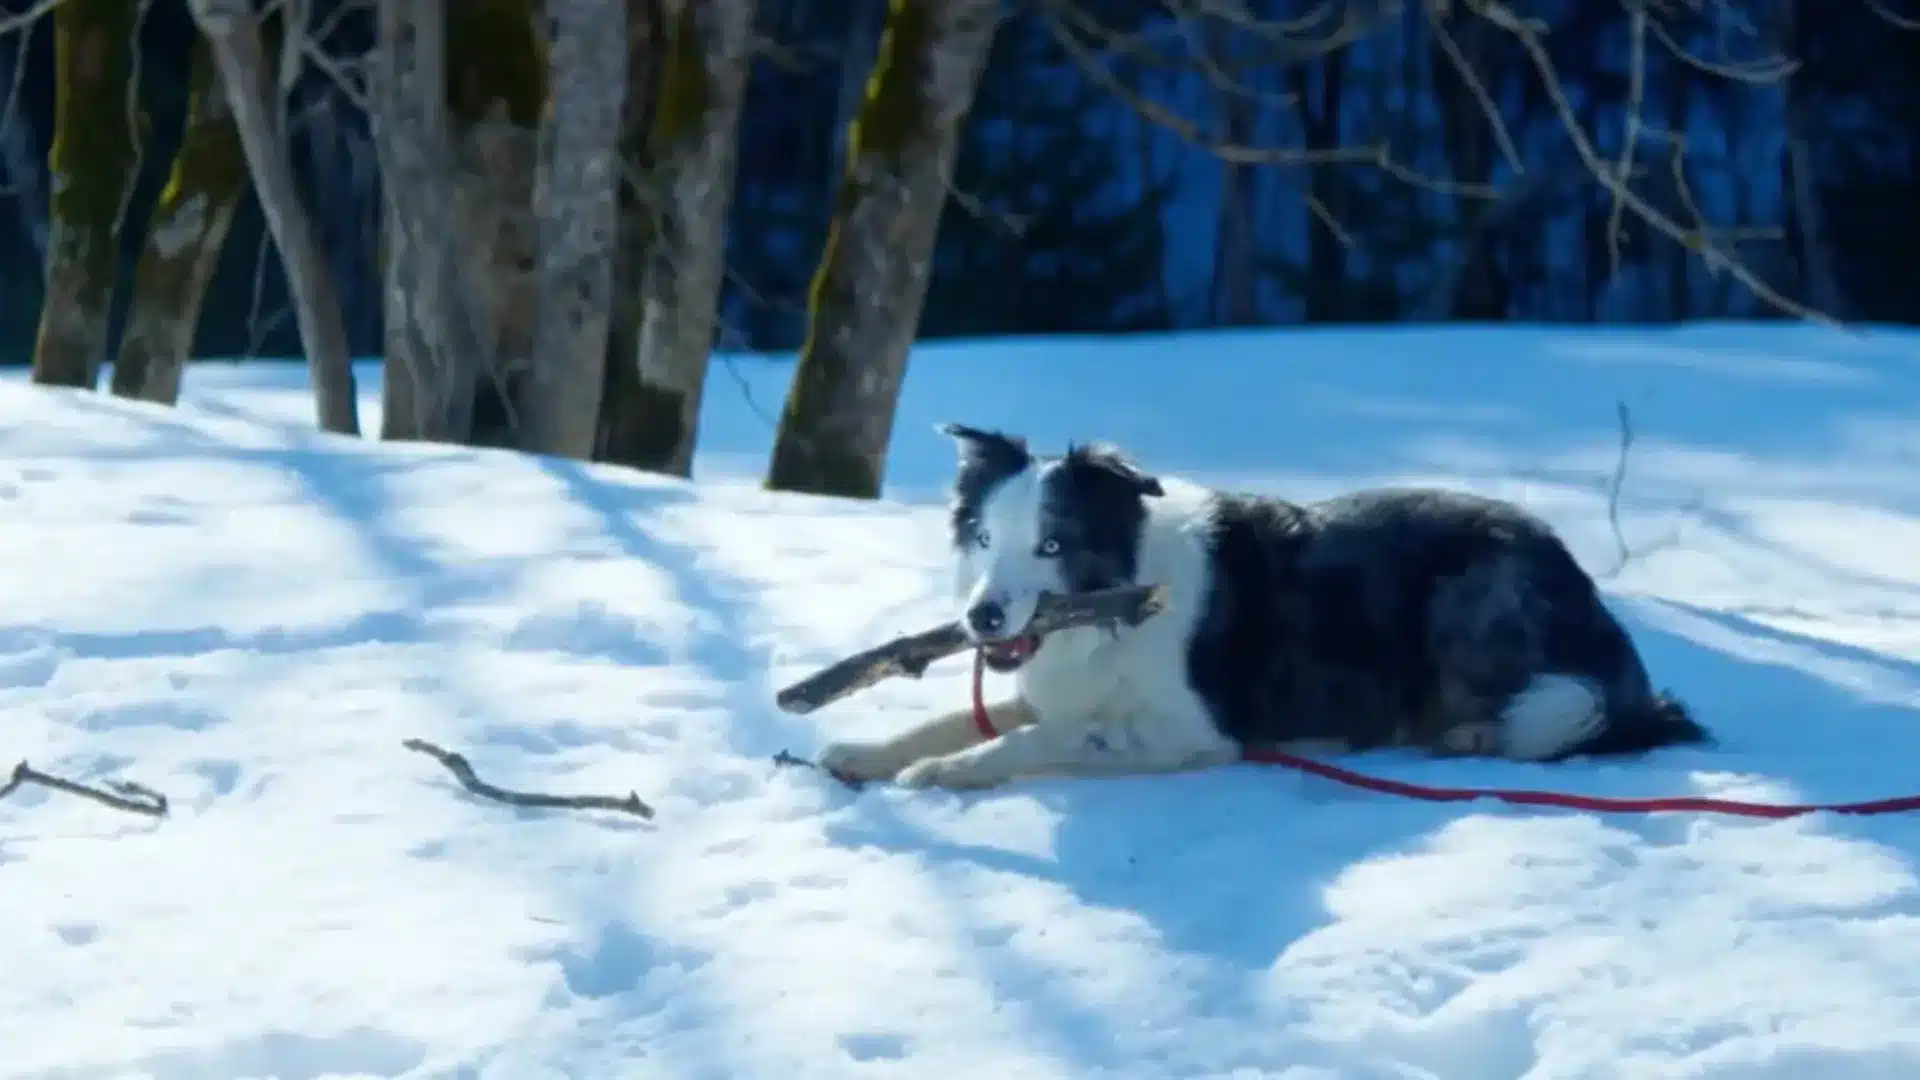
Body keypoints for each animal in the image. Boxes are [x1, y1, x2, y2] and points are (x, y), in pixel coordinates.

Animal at [814, 422, 1712, 791]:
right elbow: (956, 718)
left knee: (1561, 715)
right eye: (981, 537)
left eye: (1054, 546)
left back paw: (1473, 734)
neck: (1117, 612)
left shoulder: (1191, 731)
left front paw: (948, 773)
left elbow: (1039, 737)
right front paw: (865, 753)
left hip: (1473, 590)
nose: (984, 622)